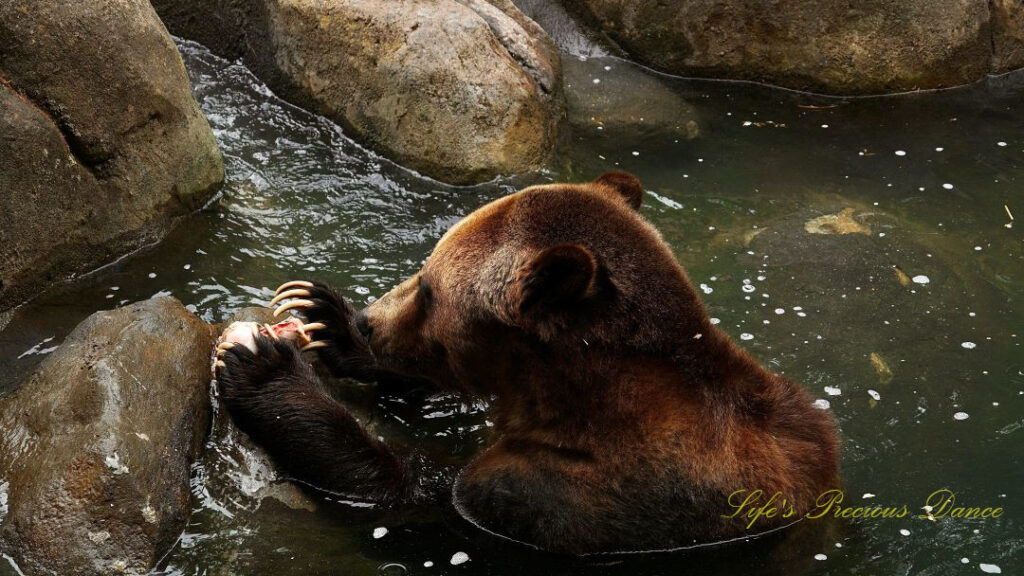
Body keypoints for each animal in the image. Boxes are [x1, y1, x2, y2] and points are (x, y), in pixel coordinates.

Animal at [214, 169, 839, 553]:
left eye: (429, 288)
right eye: (425, 271)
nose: (370, 320)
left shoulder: (561, 497)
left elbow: (408, 491)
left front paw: (262, 365)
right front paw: (321, 315)